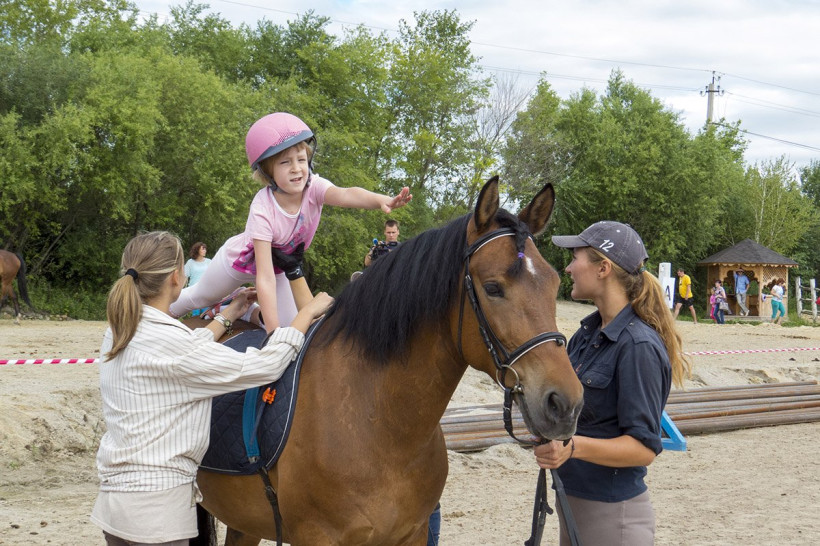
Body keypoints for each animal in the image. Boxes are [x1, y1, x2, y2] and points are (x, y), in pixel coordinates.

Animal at [196, 176, 585, 545]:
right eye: (492, 288)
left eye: (554, 284)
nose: (565, 404)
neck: (379, 422)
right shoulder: (315, 536)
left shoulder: (412, 533)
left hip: (243, 522)